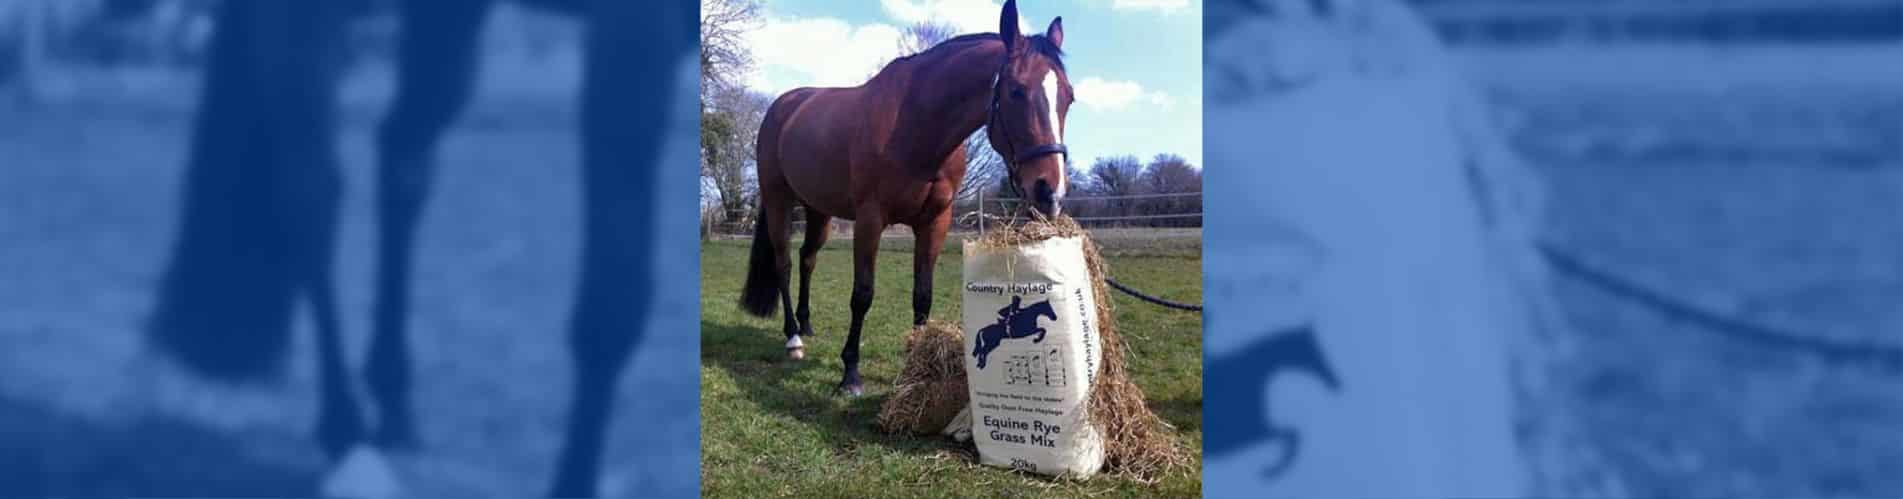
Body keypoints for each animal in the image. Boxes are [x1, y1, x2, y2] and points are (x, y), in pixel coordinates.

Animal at [108, 0, 694, 495]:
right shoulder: (637, 31)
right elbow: (614, 295)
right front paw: (574, 482)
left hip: (445, 21)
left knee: (402, 159)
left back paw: (394, 401)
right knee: (310, 193)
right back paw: (345, 430)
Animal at [740, 0, 1075, 396]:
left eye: (1069, 97)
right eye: (1016, 91)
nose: (1050, 191)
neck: (916, 125)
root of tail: (785, 105)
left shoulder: (934, 222)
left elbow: (922, 295)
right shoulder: (870, 220)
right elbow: (863, 294)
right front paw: (850, 374)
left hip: (818, 210)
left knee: (808, 259)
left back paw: (806, 326)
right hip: (778, 200)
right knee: (785, 264)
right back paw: (793, 338)